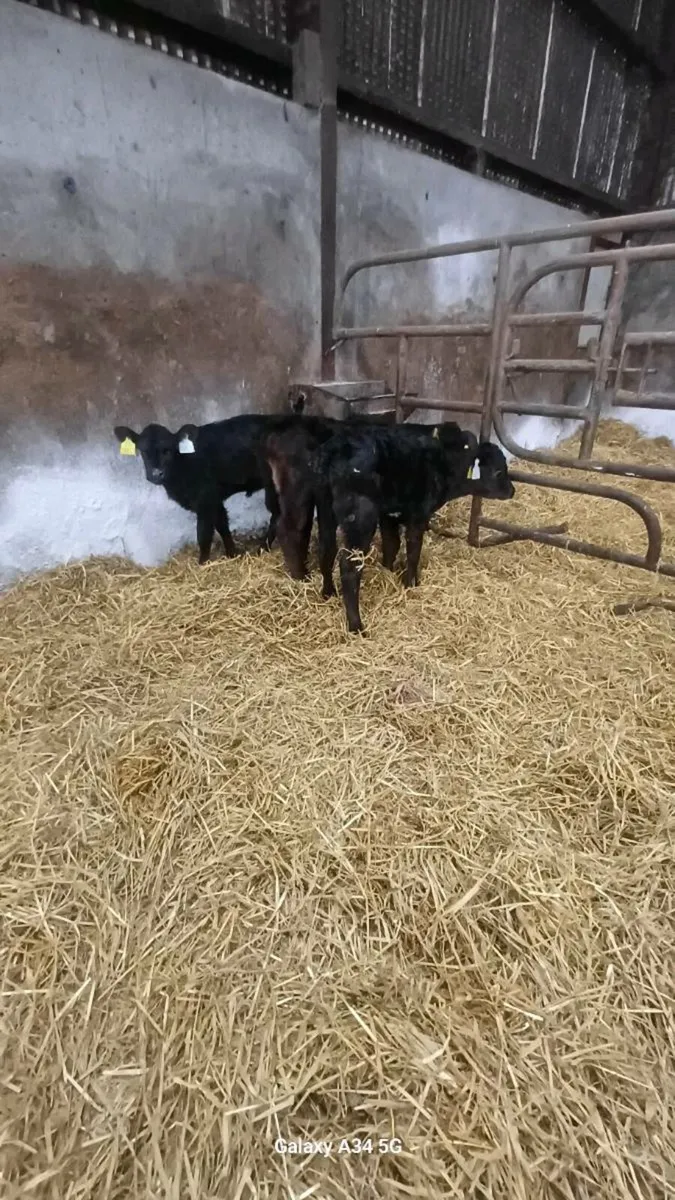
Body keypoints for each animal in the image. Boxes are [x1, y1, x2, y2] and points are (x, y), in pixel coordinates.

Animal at [114, 417, 280, 564]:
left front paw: (203, 563)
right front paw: (232, 554)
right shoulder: (214, 499)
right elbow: (222, 525)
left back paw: (262, 548)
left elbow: (203, 534)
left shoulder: (205, 500)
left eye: (167, 451)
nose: (156, 474)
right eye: (143, 451)